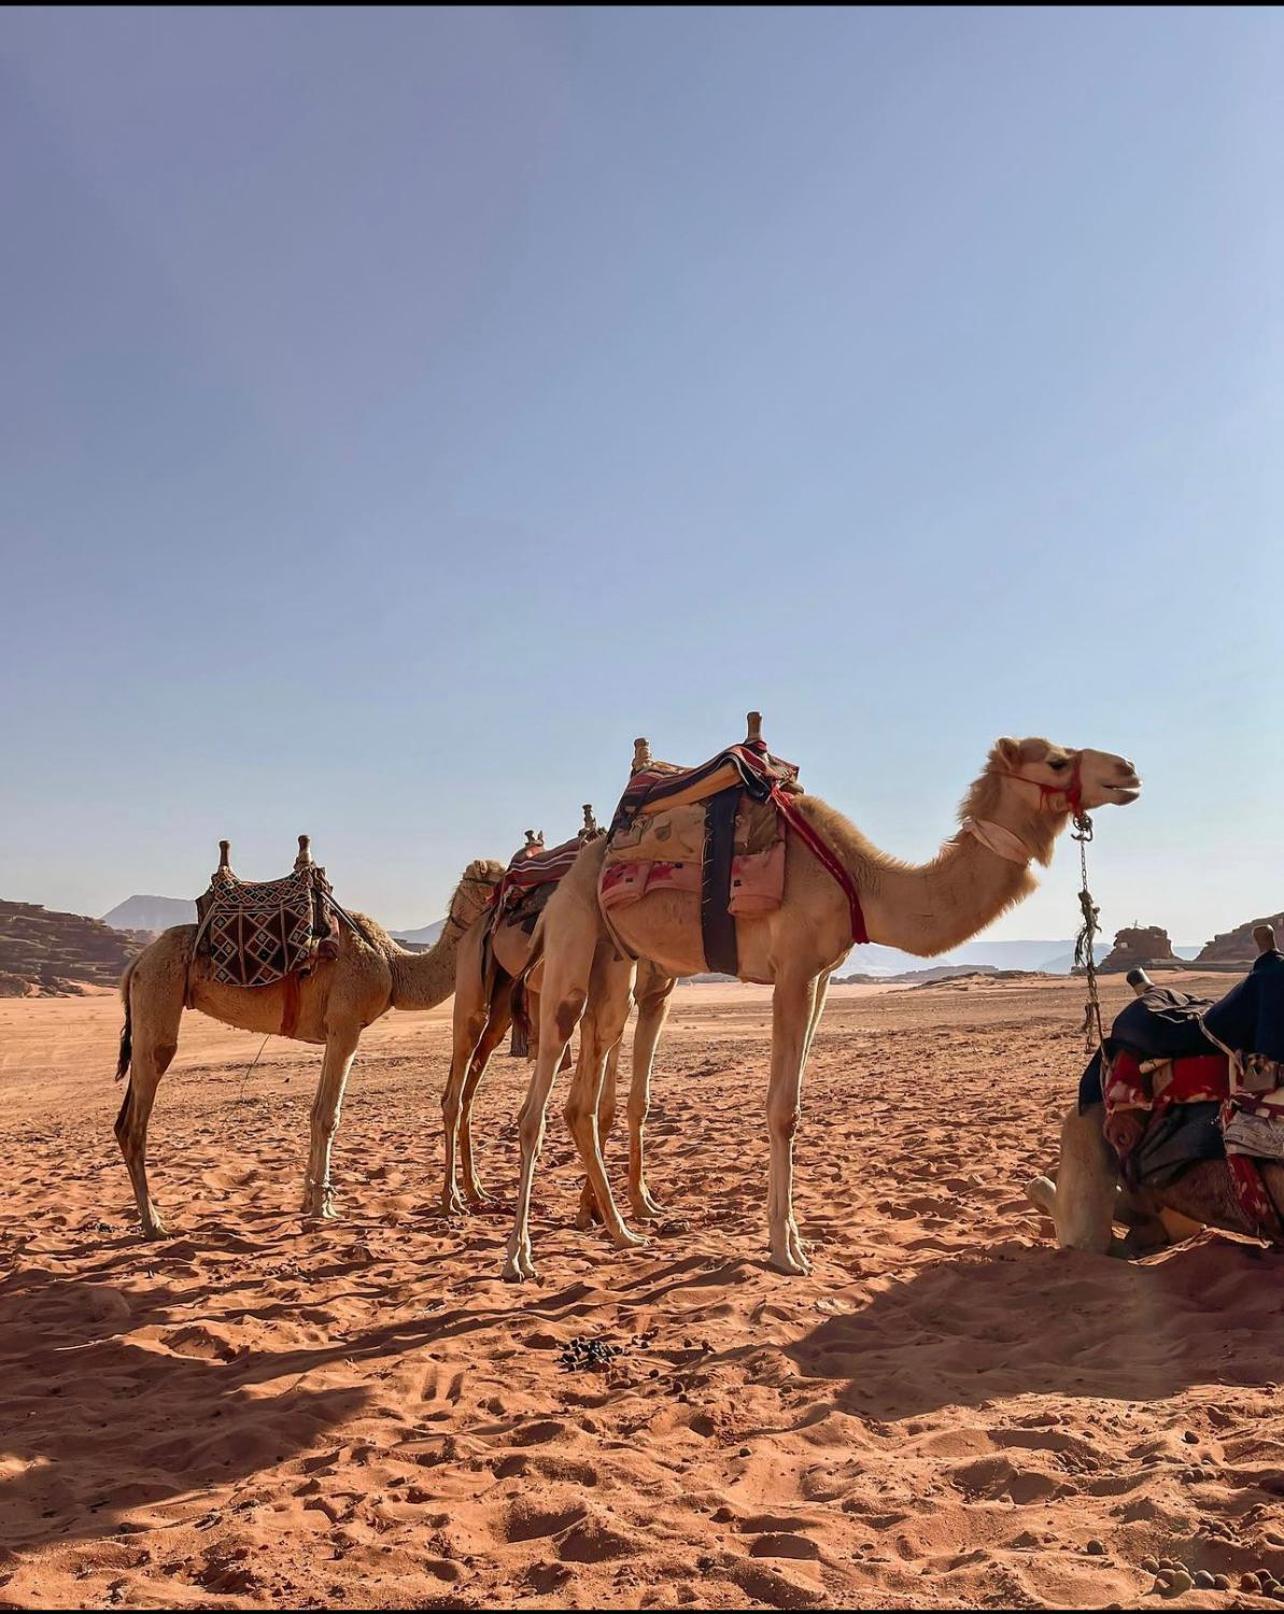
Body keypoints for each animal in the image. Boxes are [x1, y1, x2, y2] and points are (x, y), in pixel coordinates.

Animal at [113, 858, 506, 1233]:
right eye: (500, 877)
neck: (392, 968)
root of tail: (135, 963)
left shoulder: (333, 1031)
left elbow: (316, 1111)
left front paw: (309, 1199)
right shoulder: (347, 1025)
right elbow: (329, 1116)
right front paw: (323, 1206)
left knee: (123, 1120)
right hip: (157, 994)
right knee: (137, 1117)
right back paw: (153, 1223)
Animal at [441, 813, 677, 1213]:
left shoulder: (654, 998)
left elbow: (629, 1103)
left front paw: (636, 1201)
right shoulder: (611, 997)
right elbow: (598, 1104)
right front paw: (593, 1207)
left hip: (503, 1006)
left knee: (470, 1086)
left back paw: (476, 1190)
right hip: (474, 986)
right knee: (454, 1093)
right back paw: (450, 1199)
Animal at [500, 735, 1142, 1284]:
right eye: (1057, 761)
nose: (1129, 771)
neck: (861, 881)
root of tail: (570, 876)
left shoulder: (825, 977)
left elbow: (796, 1104)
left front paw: (790, 1239)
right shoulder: (794, 970)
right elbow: (782, 1109)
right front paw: (786, 1251)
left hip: (616, 961)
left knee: (582, 1098)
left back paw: (621, 1230)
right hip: (572, 943)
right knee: (537, 1101)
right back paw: (519, 1257)